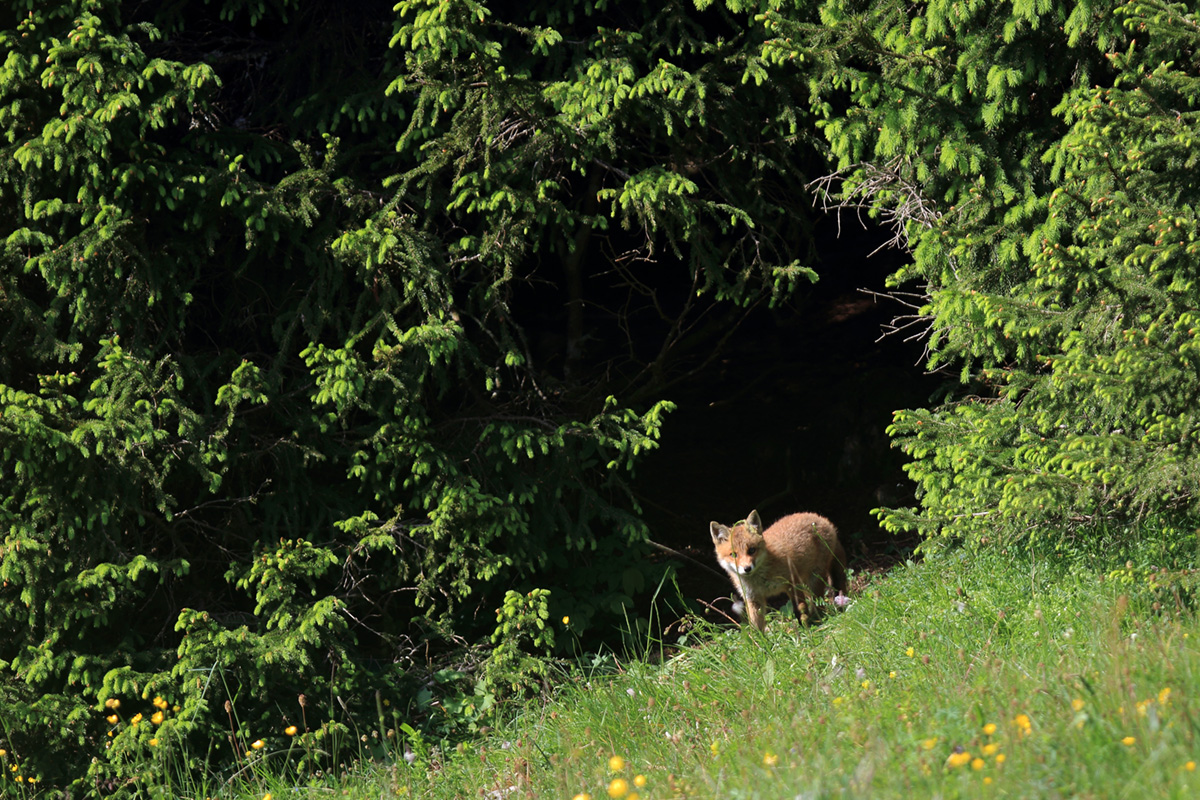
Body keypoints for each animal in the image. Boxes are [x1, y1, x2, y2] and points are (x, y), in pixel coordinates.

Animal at [705, 510, 849, 628]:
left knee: (819, 602)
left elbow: (800, 609)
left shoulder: (792, 583)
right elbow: (756, 625)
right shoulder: (753, 598)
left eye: (751, 550)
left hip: (814, 579)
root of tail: (821, 518)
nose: (747, 568)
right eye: (733, 555)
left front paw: (805, 627)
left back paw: (818, 619)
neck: (760, 580)